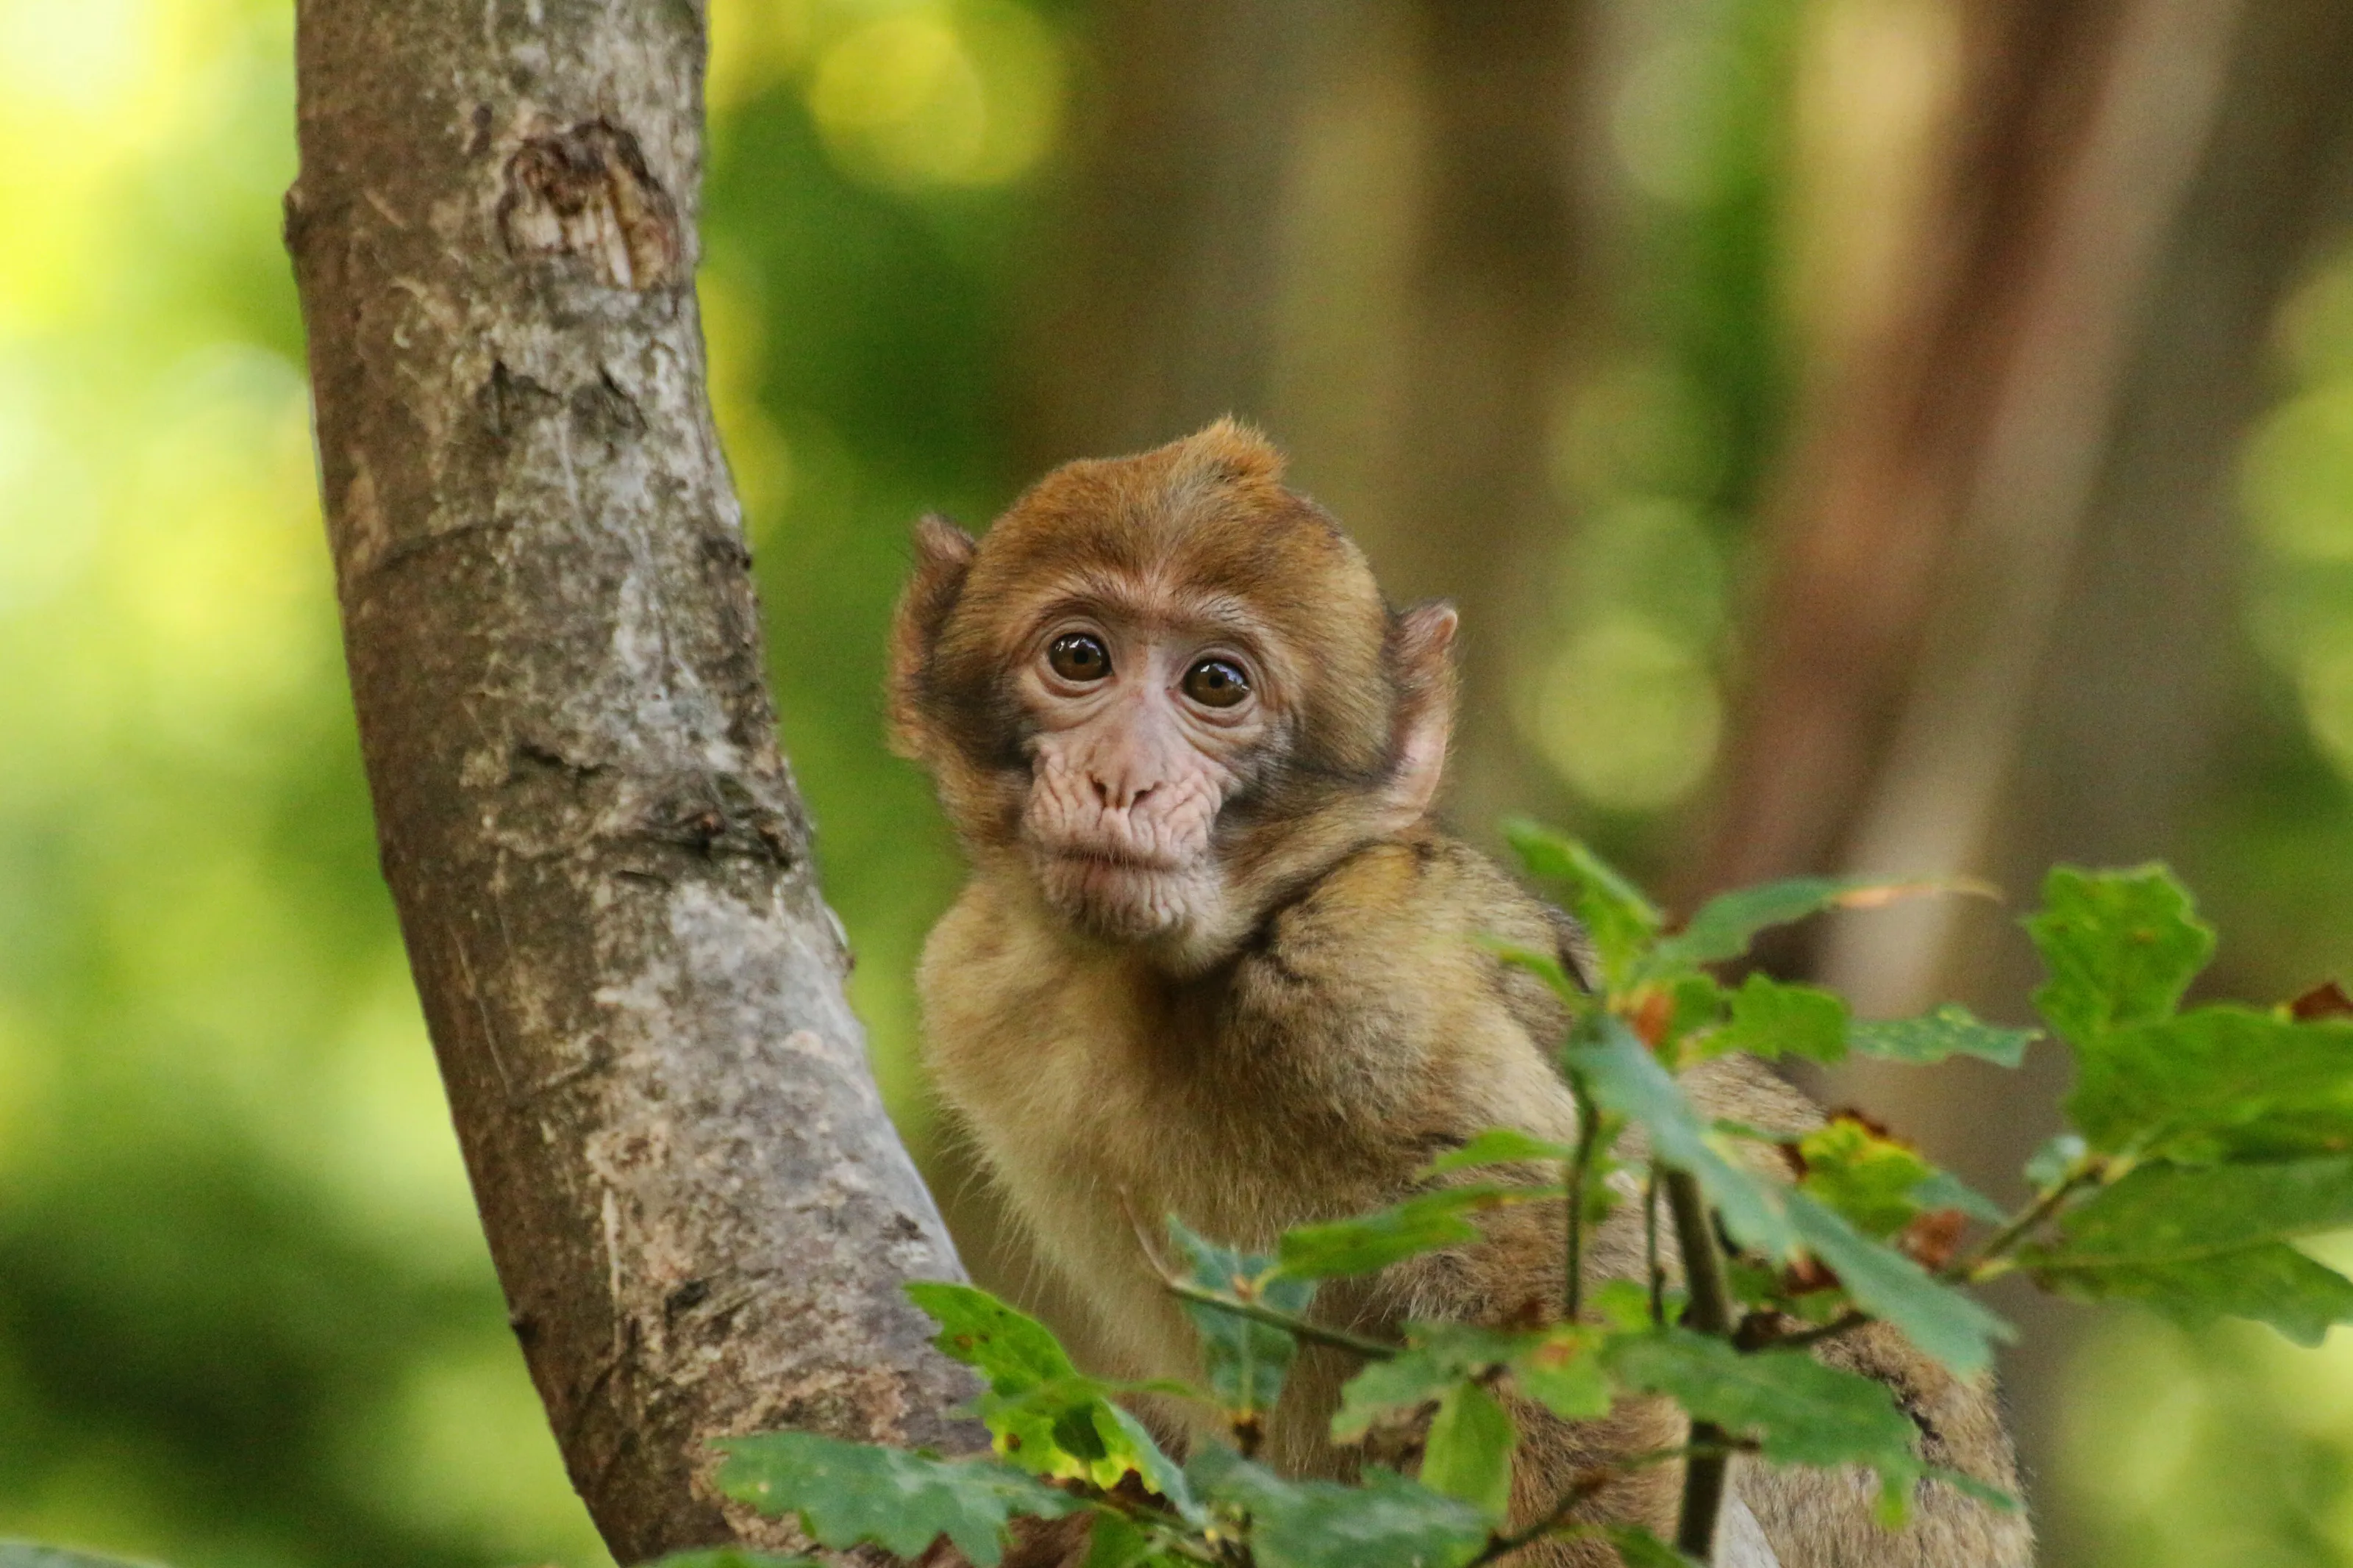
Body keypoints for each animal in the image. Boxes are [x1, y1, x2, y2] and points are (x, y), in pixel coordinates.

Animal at [886, 419, 2032, 1568]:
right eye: (1080, 656)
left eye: (1214, 682)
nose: (1122, 776)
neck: (1150, 983)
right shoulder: (968, 981)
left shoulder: (1365, 994)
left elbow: (1575, 1350)